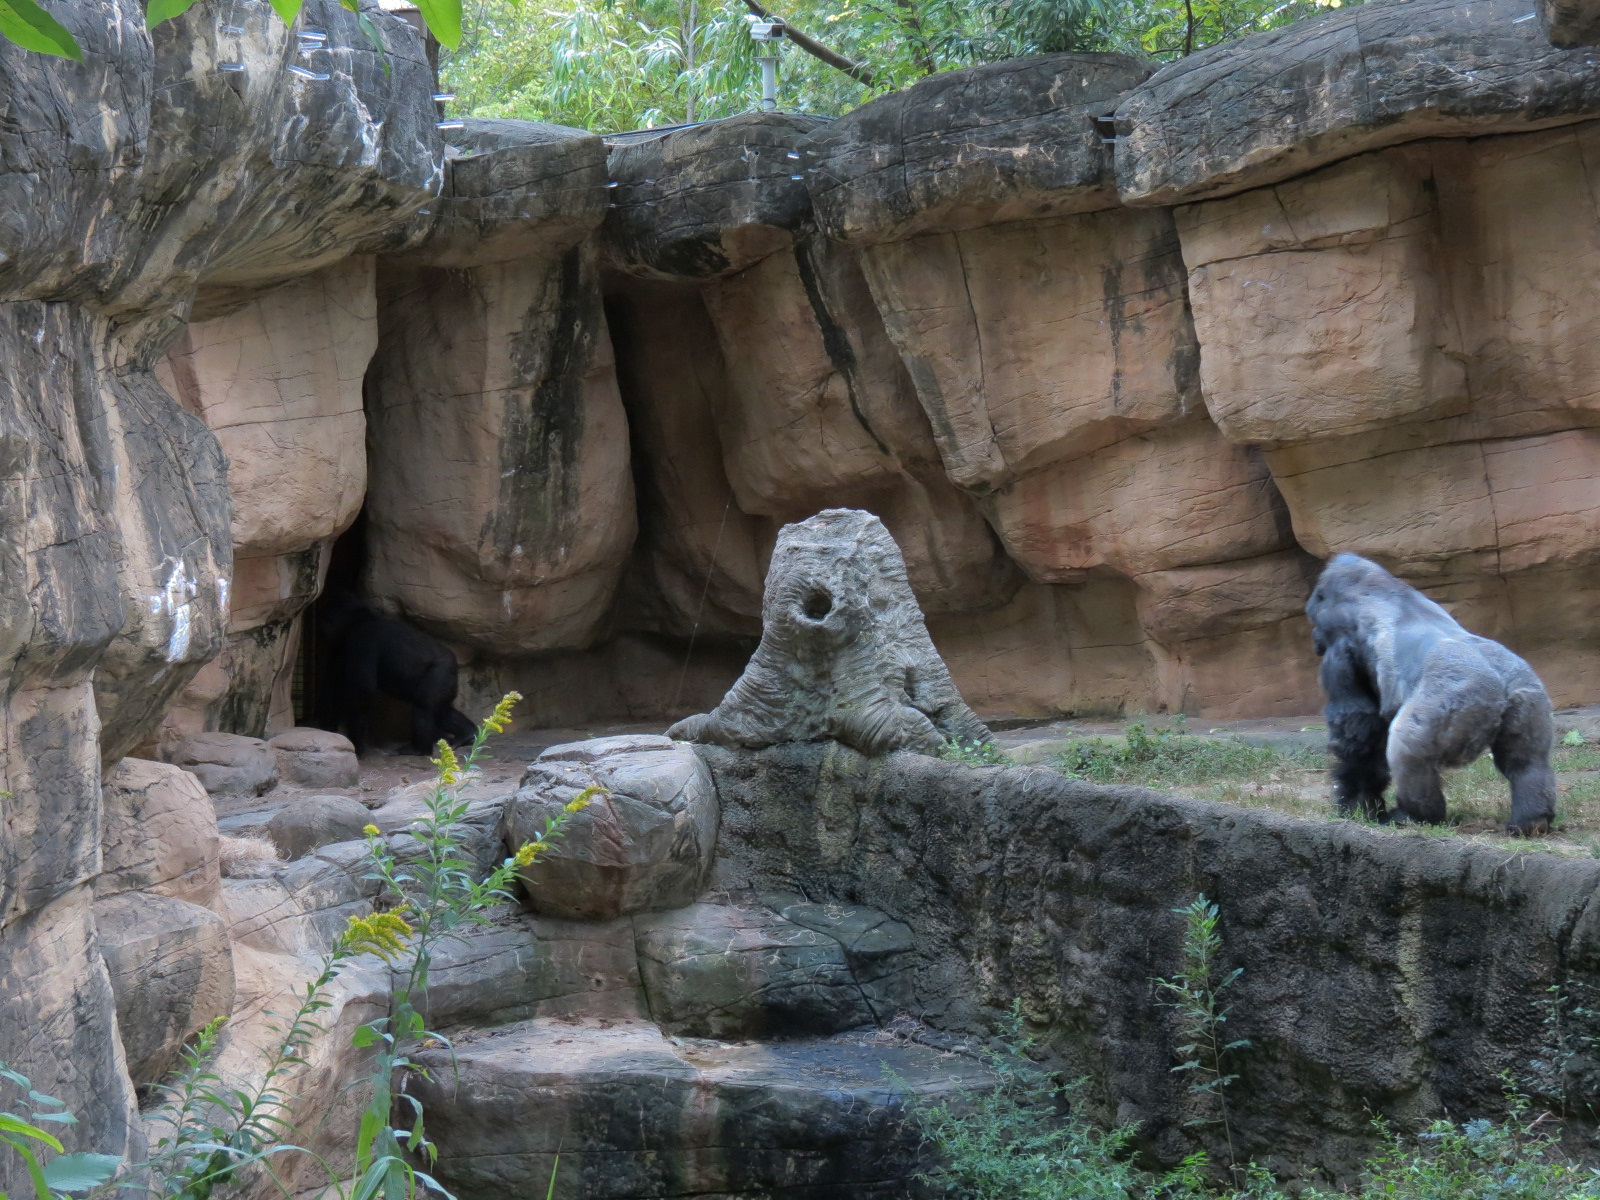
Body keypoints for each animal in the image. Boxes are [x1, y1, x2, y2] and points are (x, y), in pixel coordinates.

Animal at [1306, 553, 1556, 835]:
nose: (1314, 638)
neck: (1373, 587)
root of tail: (1498, 683)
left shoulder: (1340, 646)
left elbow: (1356, 728)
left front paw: (1358, 803)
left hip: (1452, 701)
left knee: (1407, 749)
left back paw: (1415, 815)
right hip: (1527, 694)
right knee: (1527, 762)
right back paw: (1532, 818)